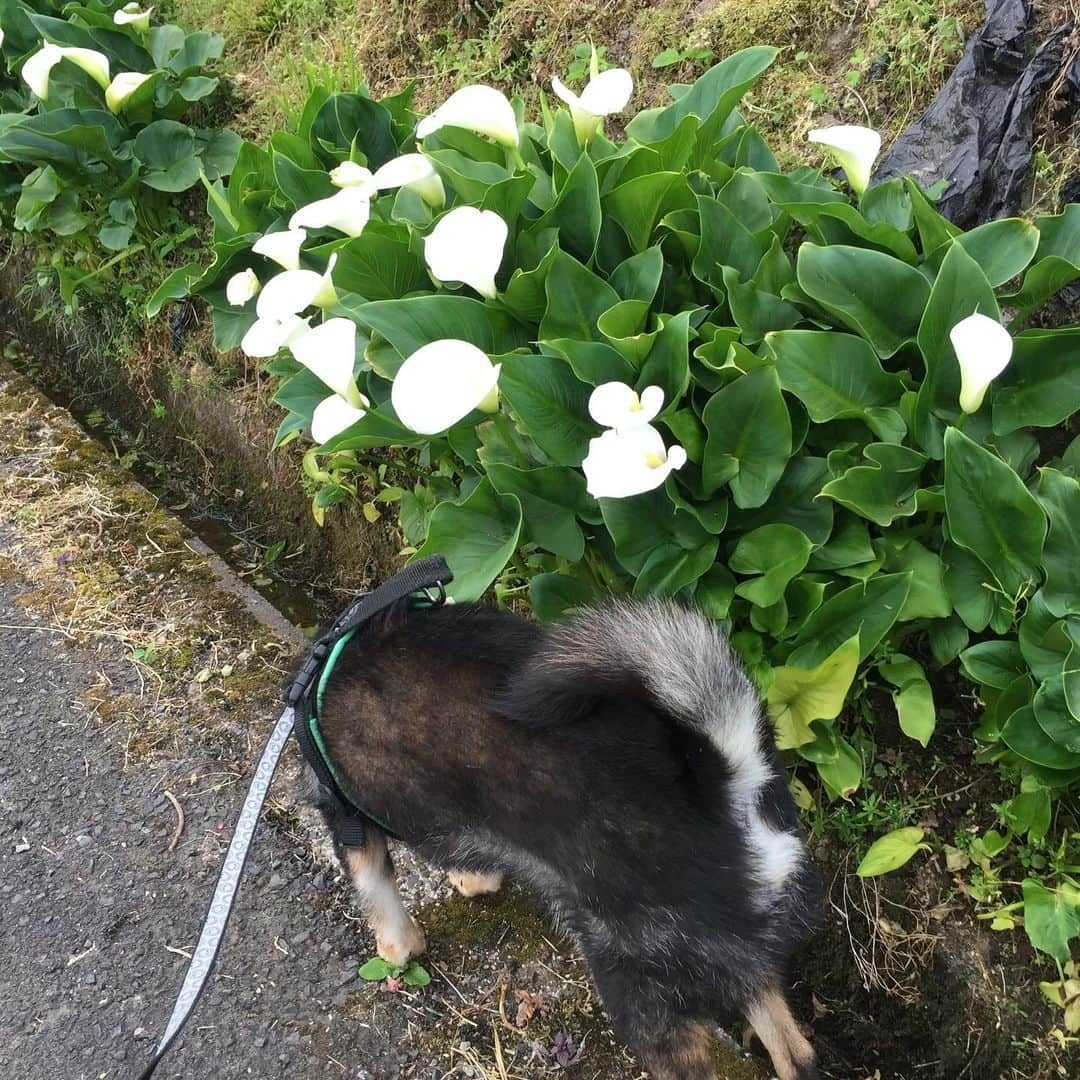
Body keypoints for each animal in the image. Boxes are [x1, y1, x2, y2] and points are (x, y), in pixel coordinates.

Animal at [315, 600, 820, 1080]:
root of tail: (724, 787)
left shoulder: (347, 824)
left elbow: (382, 905)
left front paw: (397, 949)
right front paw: (469, 879)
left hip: (638, 983)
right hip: (739, 961)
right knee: (796, 1056)